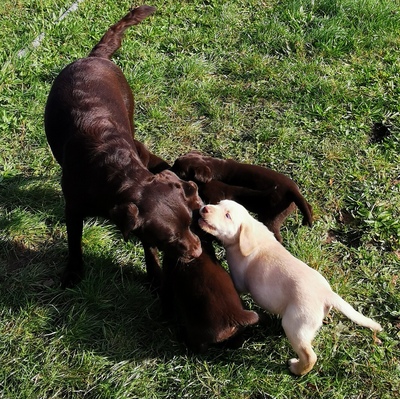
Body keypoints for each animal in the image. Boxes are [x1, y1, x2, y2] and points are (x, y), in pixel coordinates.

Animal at [44, 5, 203, 288]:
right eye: (170, 238)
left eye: (189, 223)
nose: (198, 252)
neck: (114, 170)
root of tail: (95, 57)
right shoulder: (72, 207)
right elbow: (74, 242)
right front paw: (73, 273)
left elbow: (148, 246)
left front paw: (155, 276)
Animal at [162, 220, 260, 354]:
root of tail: (233, 316)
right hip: (237, 332)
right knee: (237, 341)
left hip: (197, 333)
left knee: (199, 347)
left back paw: (182, 338)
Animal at [198, 202, 382, 376]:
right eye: (218, 204)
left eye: (227, 215)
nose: (205, 208)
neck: (247, 237)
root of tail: (327, 294)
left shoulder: (239, 280)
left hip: (295, 325)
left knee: (309, 355)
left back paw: (296, 369)